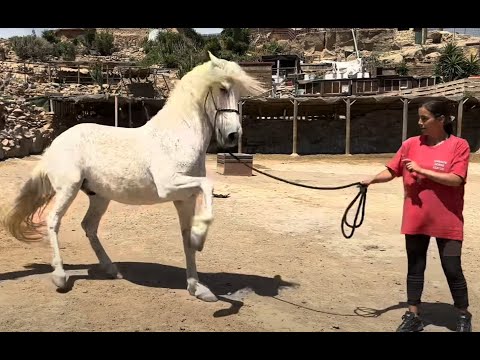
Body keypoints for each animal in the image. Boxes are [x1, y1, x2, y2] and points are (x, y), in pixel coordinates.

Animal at [1, 52, 266, 302]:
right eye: (222, 88)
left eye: (239, 92)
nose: (233, 135)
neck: (176, 137)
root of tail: (55, 144)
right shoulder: (169, 186)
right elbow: (208, 186)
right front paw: (200, 238)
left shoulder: (185, 198)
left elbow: (186, 237)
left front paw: (198, 288)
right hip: (68, 189)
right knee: (53, 221)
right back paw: (60, 276)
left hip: (99, 196)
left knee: (89, 226)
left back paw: (111, 269)